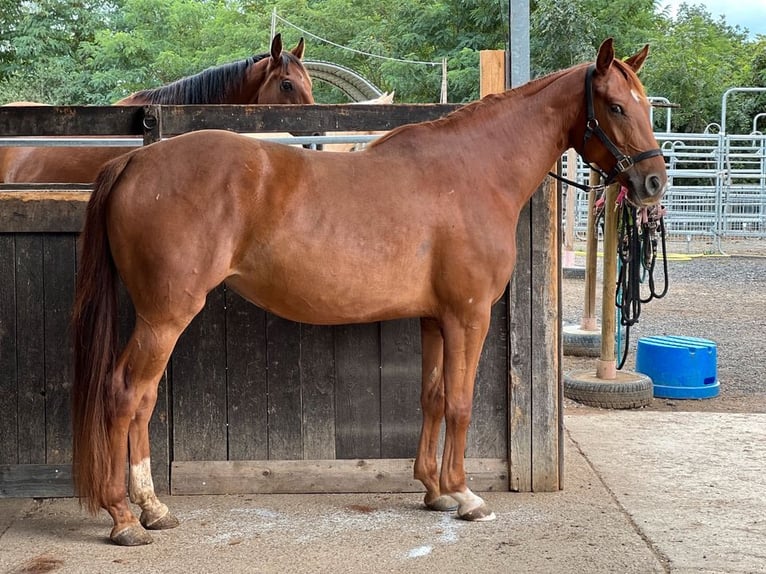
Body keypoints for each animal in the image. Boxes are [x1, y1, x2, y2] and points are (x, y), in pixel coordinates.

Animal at [75, 38, 668, 548]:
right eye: (616, 107)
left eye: (645, 106)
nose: (654, 184)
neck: (473, 172)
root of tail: (134, 160)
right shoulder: (467, 316)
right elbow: (460, 403)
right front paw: (466, 494)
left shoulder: (435, 318)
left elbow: (432, 397)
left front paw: (434, 490)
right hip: (165, 316)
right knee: (126, 395)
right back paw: (125, 517)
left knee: (141, 400)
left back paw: (152, 509)